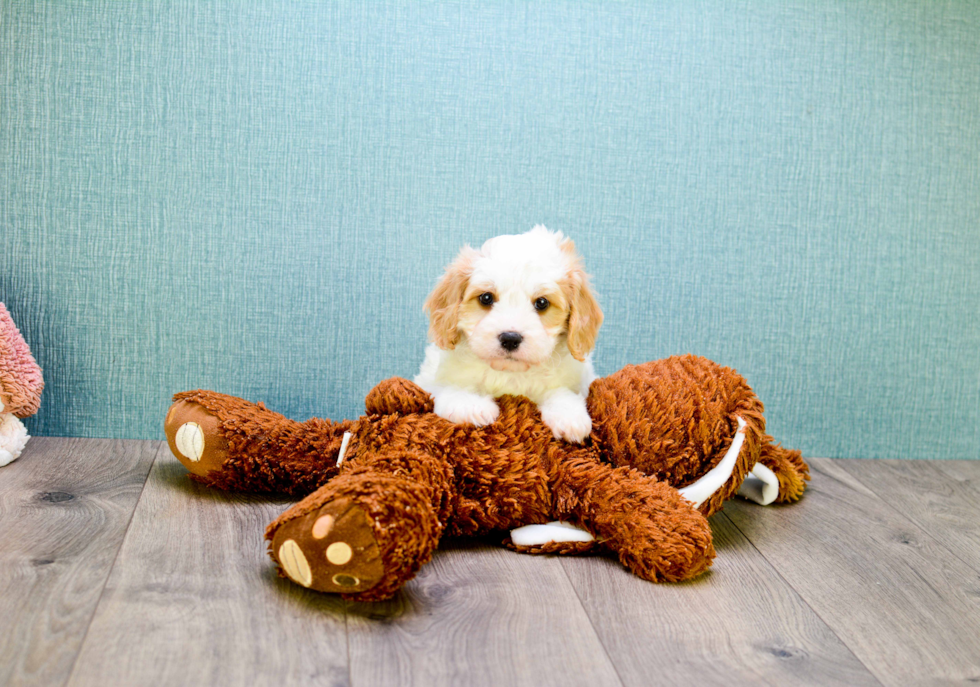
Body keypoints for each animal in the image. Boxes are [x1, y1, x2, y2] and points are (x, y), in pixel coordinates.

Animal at [416, 226, 600, 440]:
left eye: (542, 303)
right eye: (486, 298)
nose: (510, 339)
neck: (510, 374)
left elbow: (561, 392)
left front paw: (569, 416)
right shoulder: (431, 381)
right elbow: (451, 389)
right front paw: (471, 406)